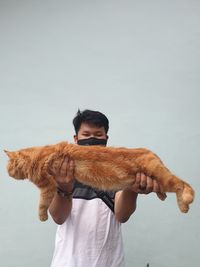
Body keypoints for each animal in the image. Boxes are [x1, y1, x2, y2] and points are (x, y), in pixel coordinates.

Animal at [4, 142, 195, 222]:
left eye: (8, 166)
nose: (7, 173)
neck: (35, 156)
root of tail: (151, 151)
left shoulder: (47, 186)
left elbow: (42, 204)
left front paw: (42, 216)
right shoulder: (53, 185)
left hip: (163, 177)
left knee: (182, 184)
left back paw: (184, 205)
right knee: (164, 188)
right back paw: (162, 196)